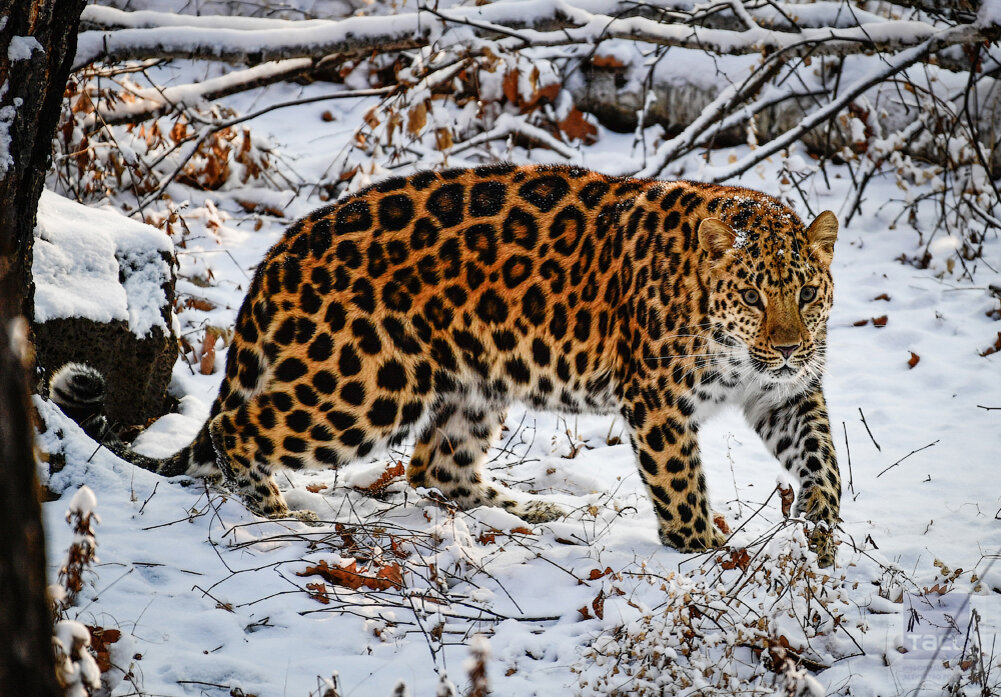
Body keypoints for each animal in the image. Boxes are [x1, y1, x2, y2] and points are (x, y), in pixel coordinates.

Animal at [50, 163, 840, 564]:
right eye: (751, 294)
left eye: (804, 292)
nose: (786, 345)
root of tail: (281, 251)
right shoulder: (658, 400)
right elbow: (679, 484)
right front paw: (704, 547)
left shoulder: (787, 392)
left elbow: (824, 456)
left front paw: (822, 534)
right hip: (368, 382)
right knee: (238, 427)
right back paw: (276, 511)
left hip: (474, 377)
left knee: (438, 464)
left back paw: (530, 510)